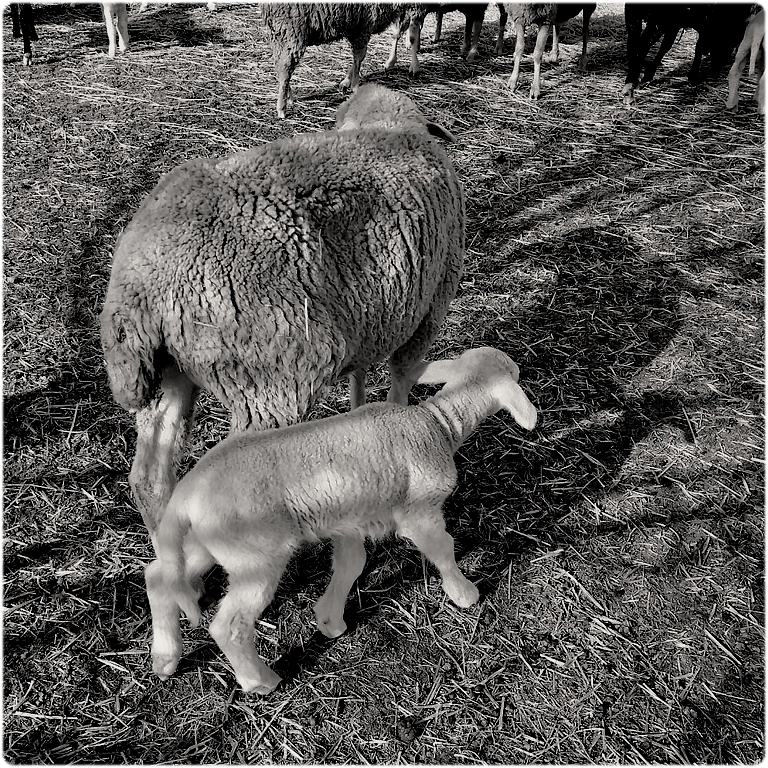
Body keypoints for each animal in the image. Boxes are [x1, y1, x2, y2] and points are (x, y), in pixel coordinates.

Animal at [100, 84, 464, 552]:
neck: (388, 126)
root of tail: (142, 280)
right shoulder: (429, 308)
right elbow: (401, 379)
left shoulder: (367, 316)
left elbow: (360, 376)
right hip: (269, 383)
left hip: (169, 373)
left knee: (149, 479)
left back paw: (170, 564)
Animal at [147, 344, 536, 692]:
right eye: (514, 374)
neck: (436, 424)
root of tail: (185, 495)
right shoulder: (419, 511)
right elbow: (442, 548)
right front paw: (464, 593)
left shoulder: (349, 521)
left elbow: (351, 564)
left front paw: (329, 620)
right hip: (254, 554)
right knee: (228, 625)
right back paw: (260, 681)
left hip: (209, 544)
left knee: (158, 578)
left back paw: (165, 658)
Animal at [262, 1, 432, 118]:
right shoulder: (363, 26)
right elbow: (359, 57)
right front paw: (355, 86)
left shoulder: (357, 28)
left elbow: (357, 59)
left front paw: (347, 82)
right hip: (292, 31)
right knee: (285, 68)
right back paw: (282, 108)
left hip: (279, 34)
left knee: (280, 66)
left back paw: (289, 97)